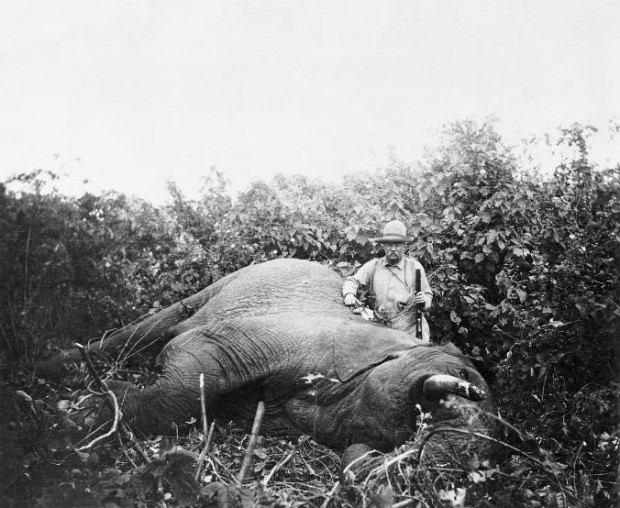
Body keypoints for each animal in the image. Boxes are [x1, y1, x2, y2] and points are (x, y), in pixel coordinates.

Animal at [37, 260, 494, 454]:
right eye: (461, 375)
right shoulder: (291, 339)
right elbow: (195, 365)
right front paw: (79, 414)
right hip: (232, 281)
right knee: (156, 325)